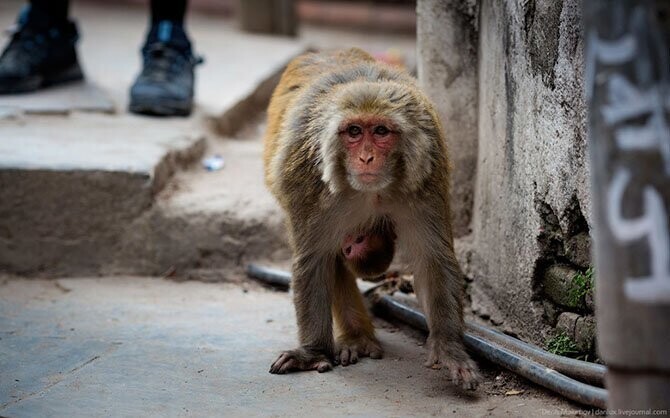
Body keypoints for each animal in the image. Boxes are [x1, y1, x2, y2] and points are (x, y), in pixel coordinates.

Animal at [266, 48, 480, 388]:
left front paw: (450, 349)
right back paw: (355, 337)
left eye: (380, 131)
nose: (367, 157)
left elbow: (432, 258)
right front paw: (313, 352)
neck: (372, 193)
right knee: (330, 258)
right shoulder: (306, 180)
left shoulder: (427, 174)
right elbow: (314, 260)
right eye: (354, 132)